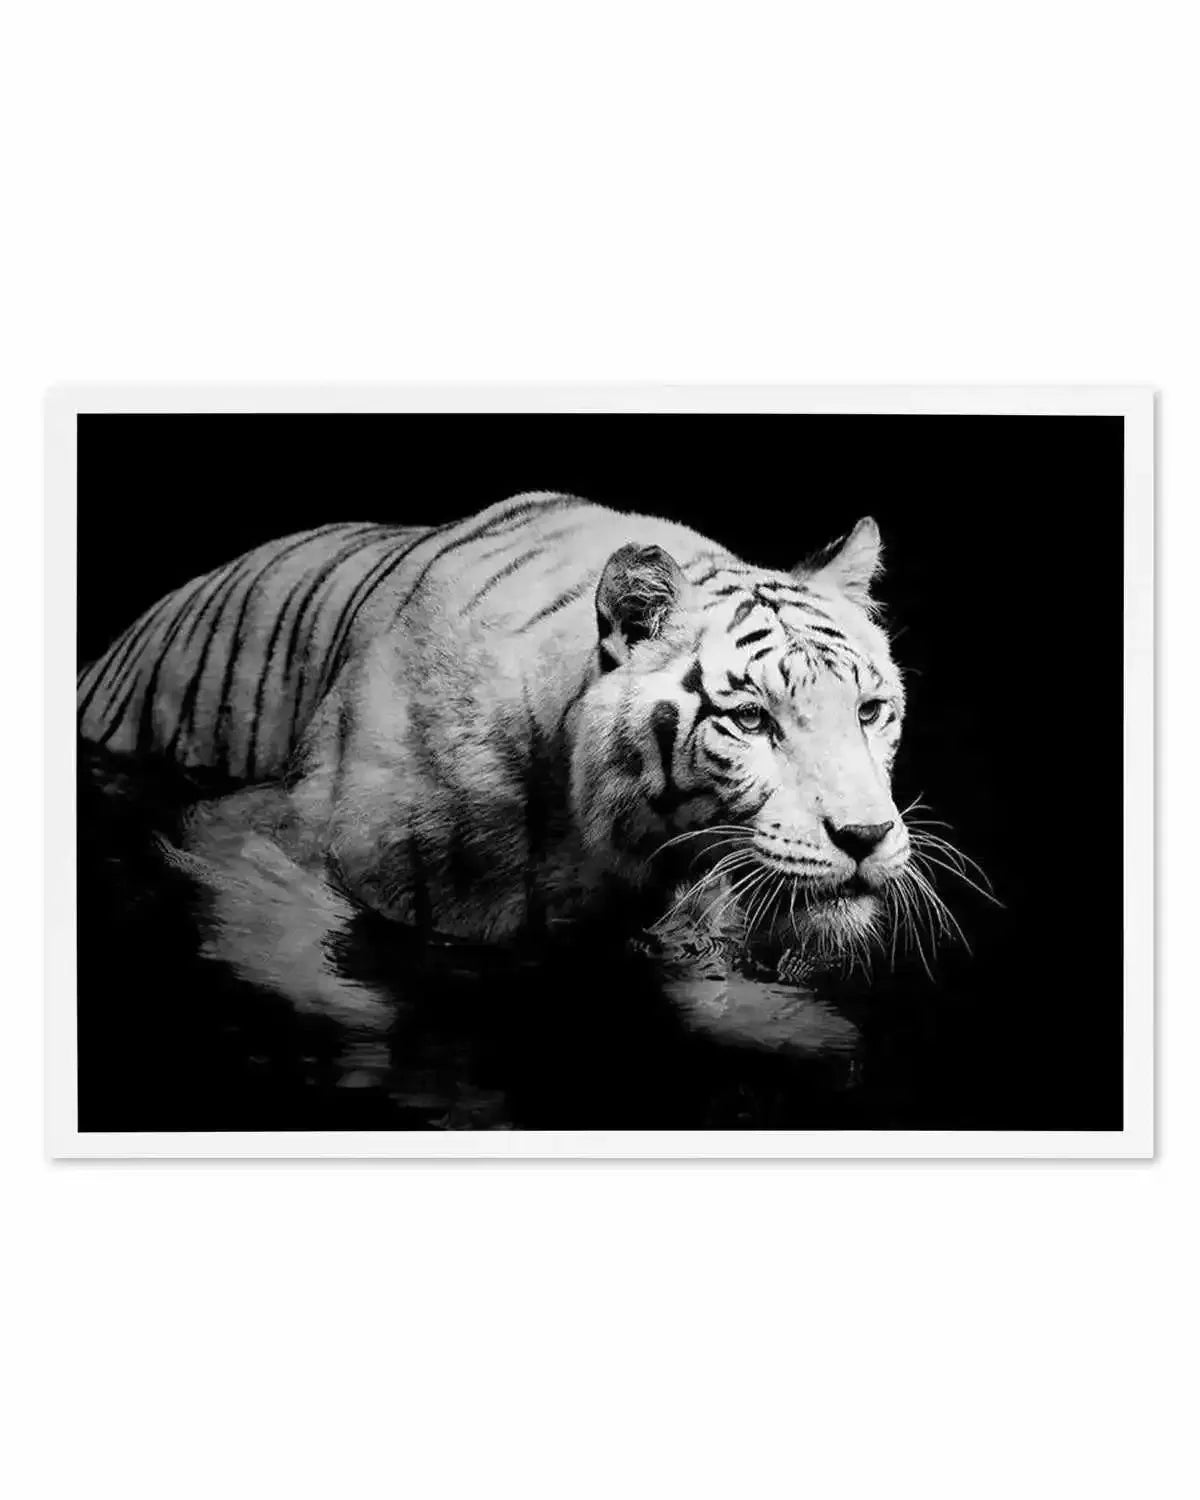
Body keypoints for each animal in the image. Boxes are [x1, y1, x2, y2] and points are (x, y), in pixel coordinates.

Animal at [77, 491, 914, 1051]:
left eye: (870, 711)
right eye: (751, 721)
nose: (867, 835)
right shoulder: (244, 835)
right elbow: (288, 944)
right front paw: (362, 1023)